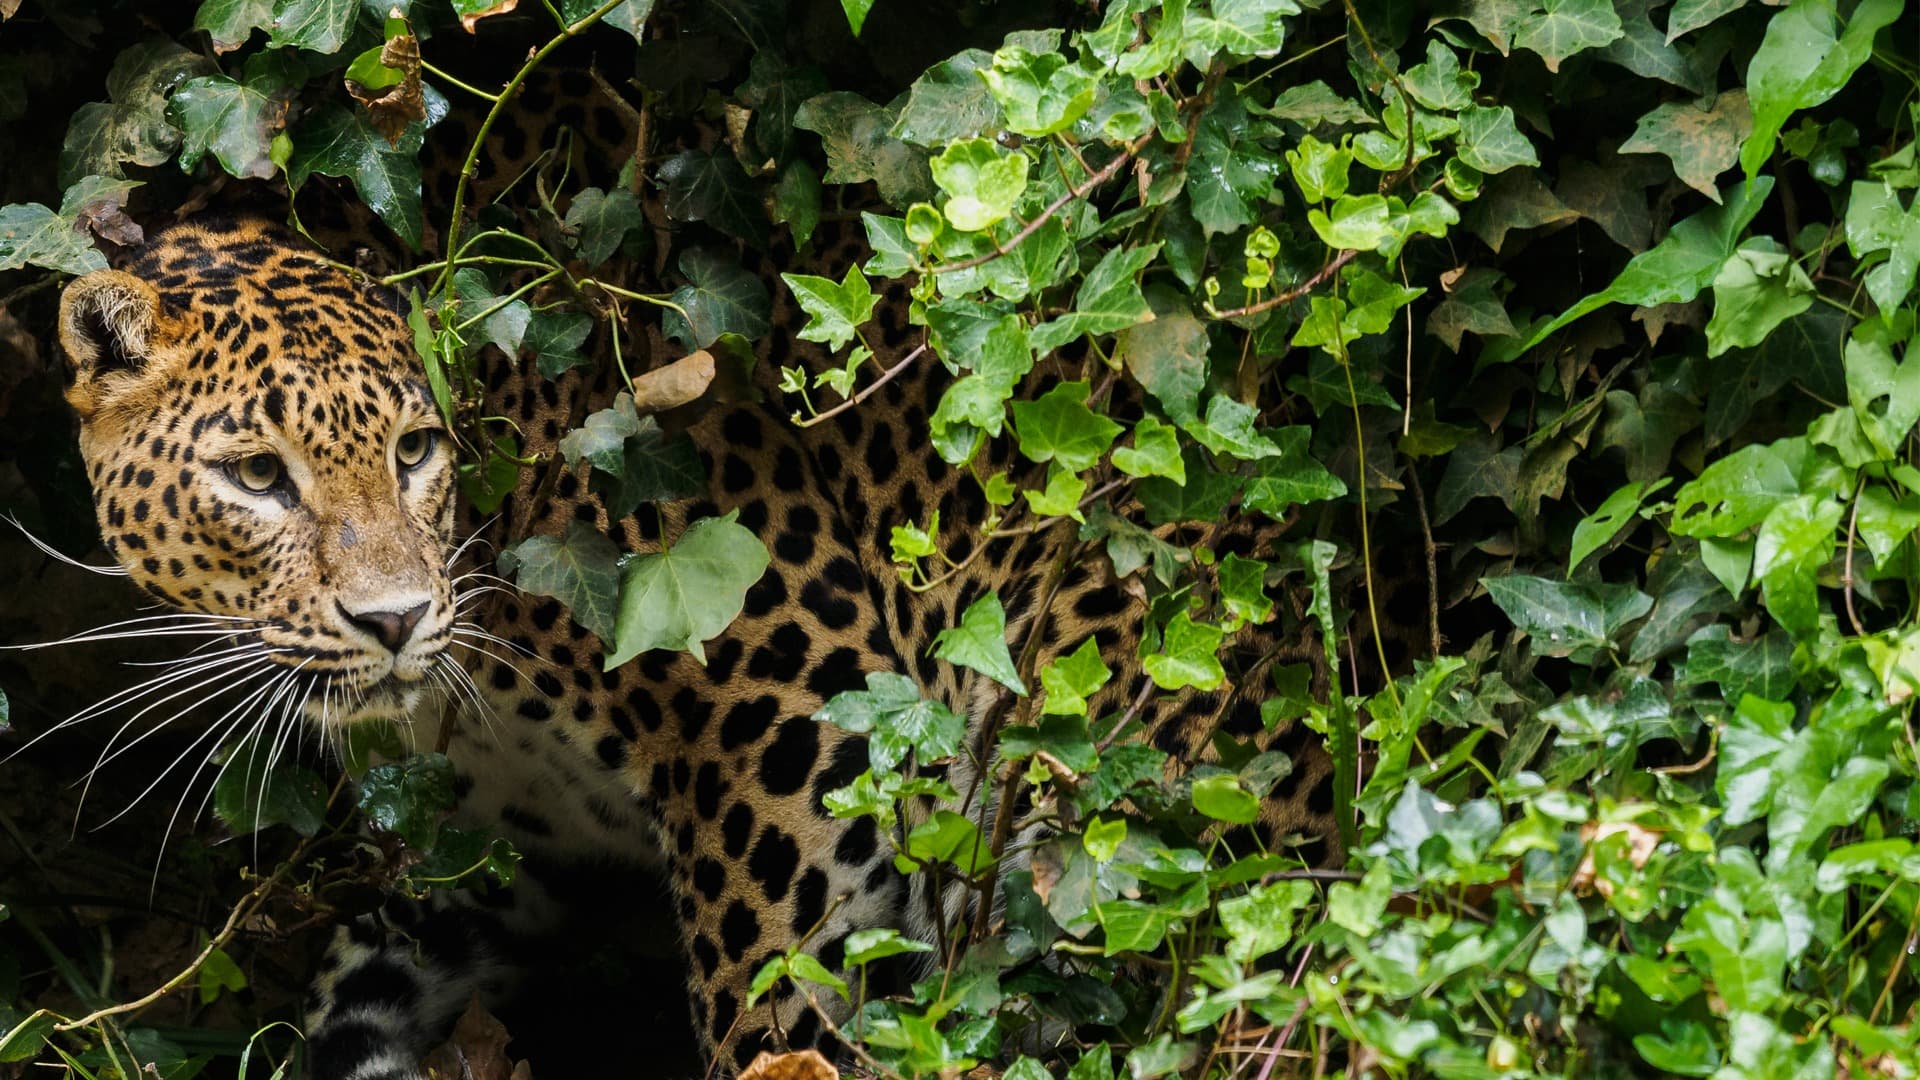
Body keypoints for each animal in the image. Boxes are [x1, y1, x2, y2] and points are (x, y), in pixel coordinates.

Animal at [44, 66, 1362, 1080]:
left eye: (413, 451)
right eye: (258, 477)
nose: (396, 621)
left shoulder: (788, 718)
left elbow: (771, 984)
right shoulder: (508, 856)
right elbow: (357, 980)